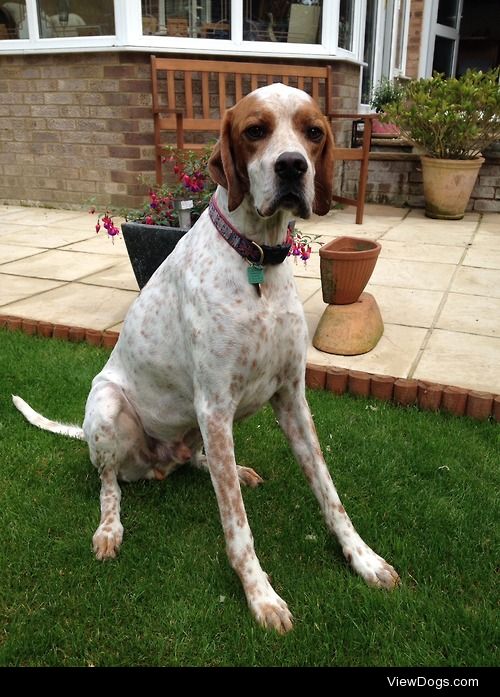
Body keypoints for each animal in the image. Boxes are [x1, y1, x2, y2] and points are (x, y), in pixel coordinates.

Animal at [13, 84, 400, 632]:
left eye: (313, 132)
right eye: (255, 130)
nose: (292, 166)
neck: (256, 258)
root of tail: (151, 464)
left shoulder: (292, 400)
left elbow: (330, 495)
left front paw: (363, 560)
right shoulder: (215, 406)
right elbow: (237, 526)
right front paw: (261, 596)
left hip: (197, 430)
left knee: (200, 463)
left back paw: (231, 469)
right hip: (109, 409)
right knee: (109, 485)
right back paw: (110, 528)